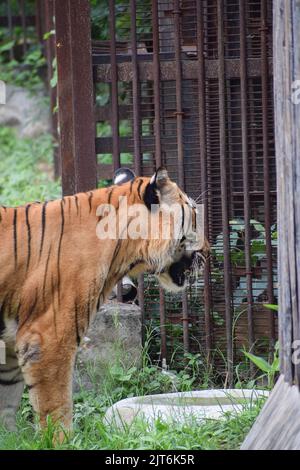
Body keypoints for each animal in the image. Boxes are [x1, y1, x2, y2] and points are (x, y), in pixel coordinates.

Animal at [0, 166, 210, 436]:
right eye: (194, 214)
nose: (208, 251)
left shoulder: (9, 349)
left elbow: (6, 411)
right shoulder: (48, 339)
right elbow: (57, 408)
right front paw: (61, 440)